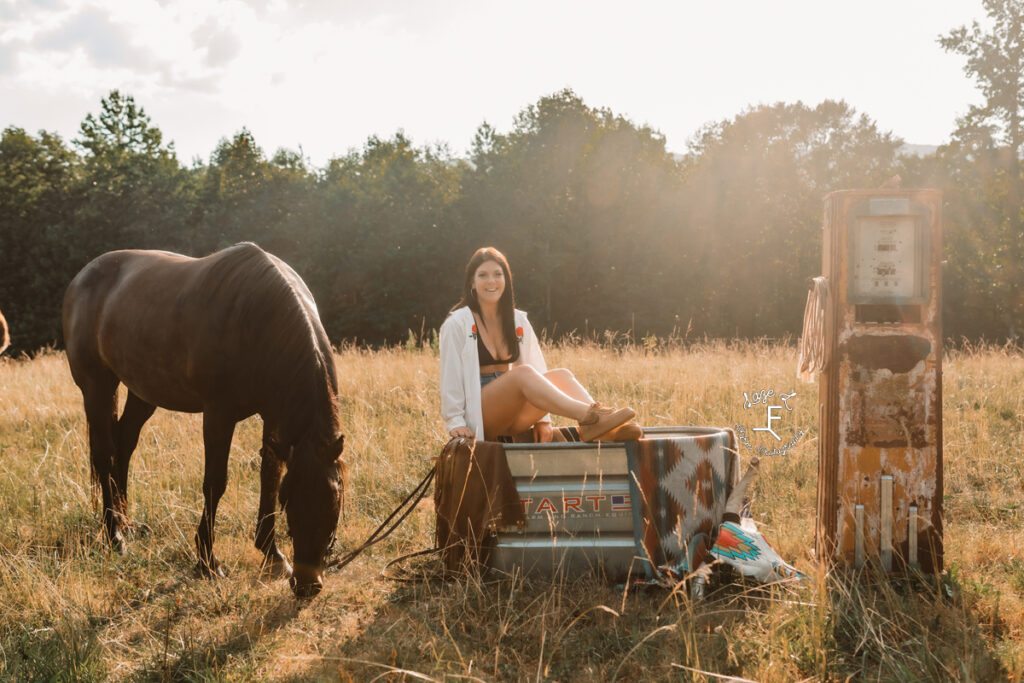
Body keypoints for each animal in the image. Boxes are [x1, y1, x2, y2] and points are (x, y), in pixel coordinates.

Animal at [62, 244, 344, 598]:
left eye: (334, 503)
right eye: (291, 503)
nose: (307, 585)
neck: (259, 321)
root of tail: (81, 279)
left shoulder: (274, 417)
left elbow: (269, 474)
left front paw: (273, 554)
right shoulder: (218, 415)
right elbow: (215, 483)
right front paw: (208, 562)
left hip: (143, 392)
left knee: (124, 445)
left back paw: (127, 524)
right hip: (97, 387)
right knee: (103, 456)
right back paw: (116, 537)